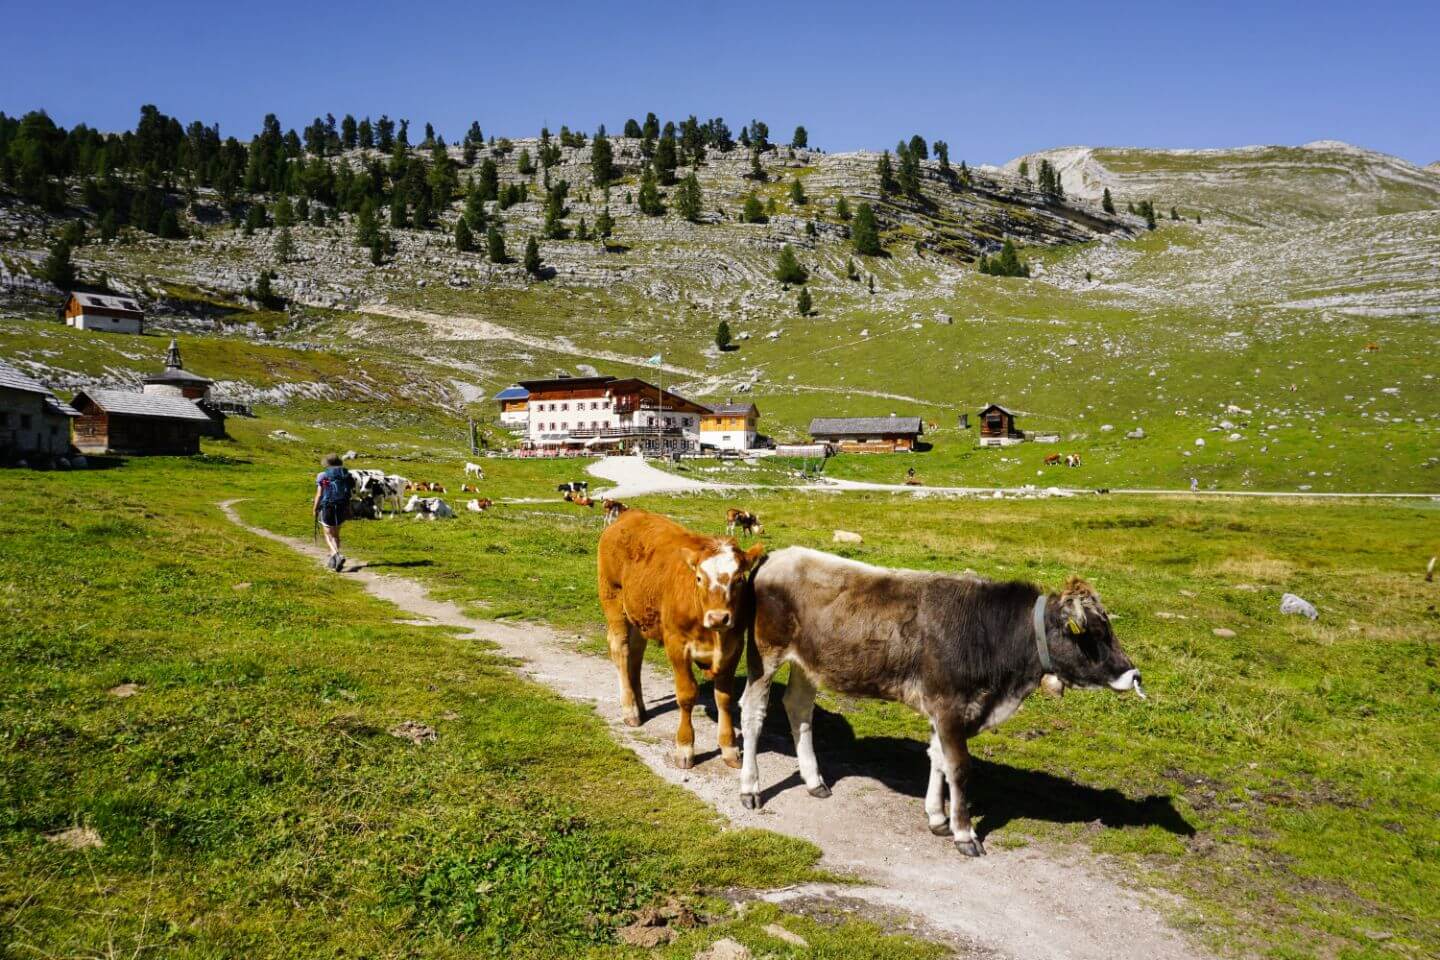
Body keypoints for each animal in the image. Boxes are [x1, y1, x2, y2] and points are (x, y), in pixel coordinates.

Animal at [596, 515, 766, 771]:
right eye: (699, 578)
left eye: (738, 580)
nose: (718, 617)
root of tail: (629, 515)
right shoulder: (677, 644)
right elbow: (686, 695)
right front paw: (685, 748)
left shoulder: (735, 646)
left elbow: (724, 698)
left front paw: (730, 748)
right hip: (613, 599)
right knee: (621, 651)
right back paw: (630, 709)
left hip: (639, 616)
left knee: (635, 655)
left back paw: (640, 706)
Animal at [737, 552, 1140, 857]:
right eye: (1092, 633)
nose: (1133, 674)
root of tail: (779, 556)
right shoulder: (948, 705)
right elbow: (958, 766)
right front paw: (964, 833)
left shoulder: (945, 709)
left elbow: (938, 759)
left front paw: (937, 818)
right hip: (765, 655)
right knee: (753, 714)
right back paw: (750, 788)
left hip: (810, 664)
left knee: (799, 709)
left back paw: (813, 780)